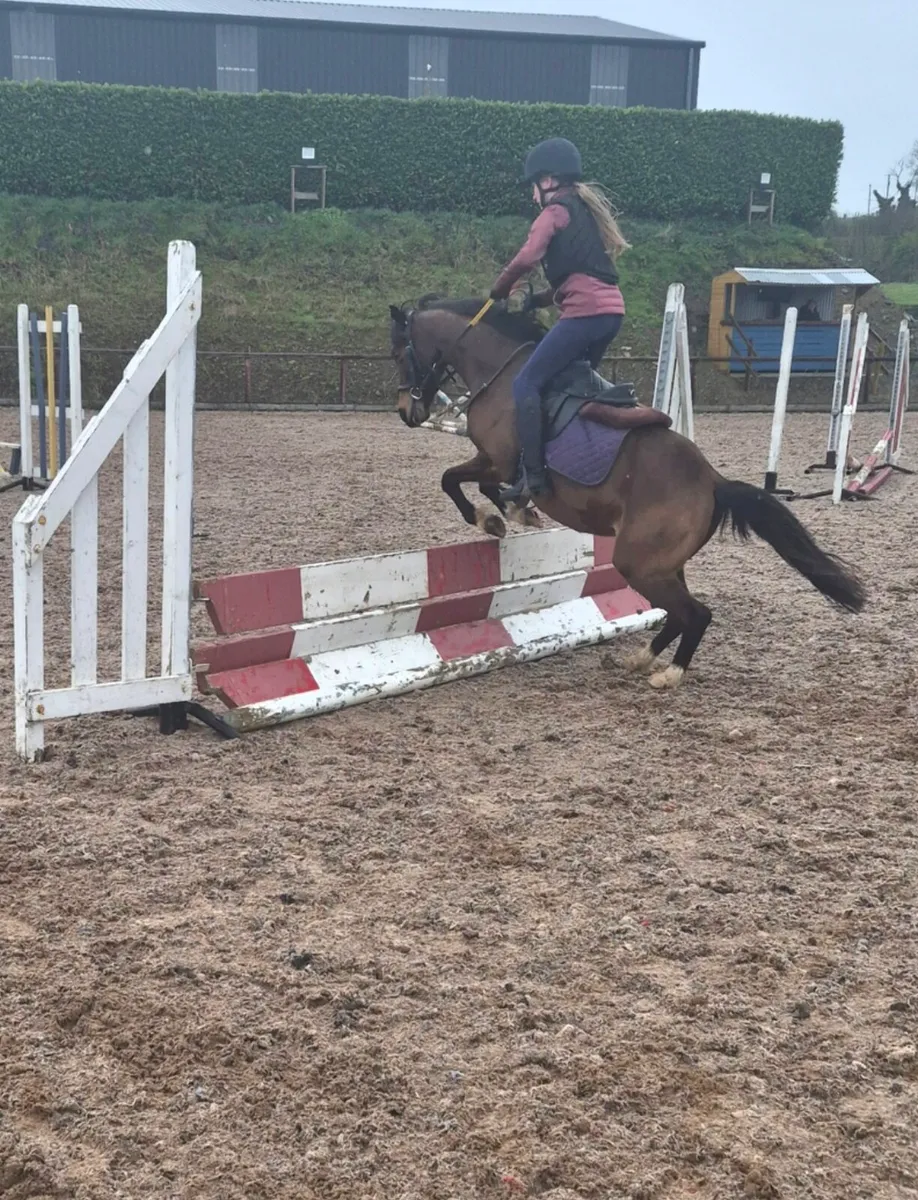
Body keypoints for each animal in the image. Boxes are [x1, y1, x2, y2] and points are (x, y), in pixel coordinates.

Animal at [389, 296, 866, 690]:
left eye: (398, 353)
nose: (407, 411)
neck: (500, 371)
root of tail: (713, 481)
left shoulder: (499, 460)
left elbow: (457, 480)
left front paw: (495, 518)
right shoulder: (494, 461)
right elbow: (471, 482)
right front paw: (511, 512)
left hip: (638, 562)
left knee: (695, 613)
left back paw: (669, 674)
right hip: (661, 564)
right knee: (678, 614)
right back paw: (641, 658)